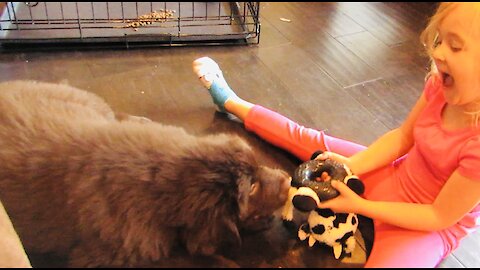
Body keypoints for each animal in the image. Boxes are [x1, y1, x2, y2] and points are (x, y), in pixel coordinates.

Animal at [0, 80, 290, 268]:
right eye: (251, 188)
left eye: (257, 165)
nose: (288, 181)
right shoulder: (111, 256)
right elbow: (184, 256)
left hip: (83, 101)